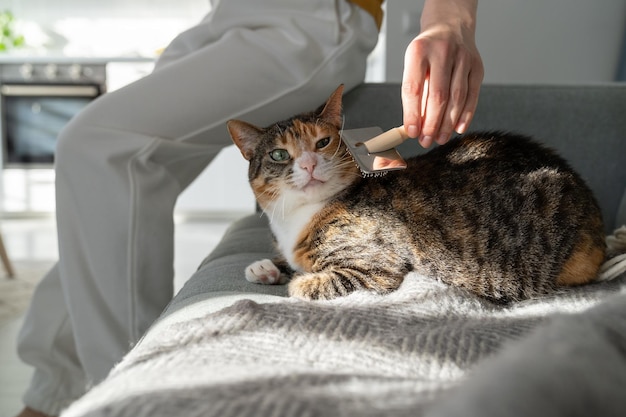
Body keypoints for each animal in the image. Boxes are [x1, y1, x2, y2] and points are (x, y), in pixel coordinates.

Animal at [228, 83, 604, 302]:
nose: (307, 164)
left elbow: (314, 282)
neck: (296, 217)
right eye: (279, 154)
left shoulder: (375, 268)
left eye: (323, 142)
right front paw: (266, 267)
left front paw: (295, 280)